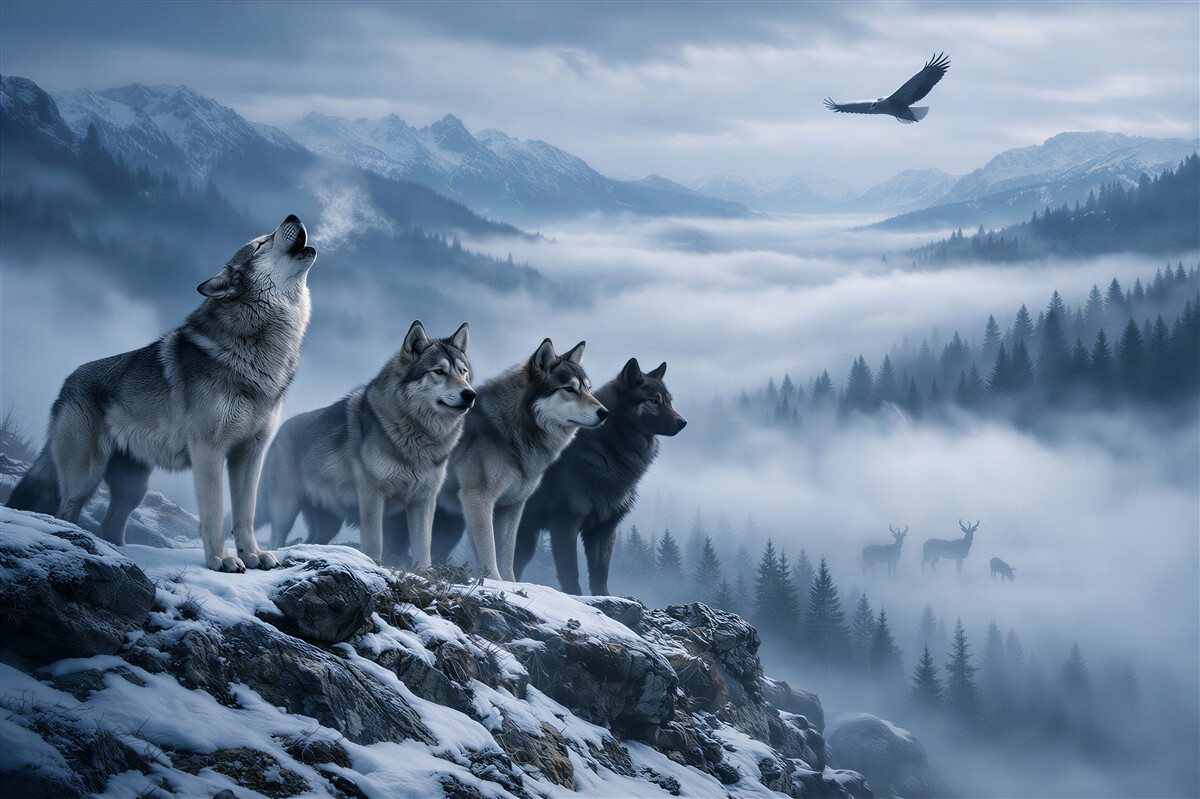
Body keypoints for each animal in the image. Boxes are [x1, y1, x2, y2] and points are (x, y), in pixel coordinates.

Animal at [8, 215, 316, 572]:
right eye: (260, 244)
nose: (292, 216)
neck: (259, 351)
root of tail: (66, 384)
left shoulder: (251, 453)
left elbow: (246, 514)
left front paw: (253, 556)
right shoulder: (208, 450)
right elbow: (214, 513)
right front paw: (221, 560)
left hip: (134, 488)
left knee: (110, 525)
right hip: (86, 476)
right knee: (66, 512)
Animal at [255, 320, 474, 566]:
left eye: (463, 372)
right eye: (439, 371)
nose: (470, 394)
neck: (418, 438)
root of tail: (279, 432)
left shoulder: (423, 501)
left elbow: (423, 550)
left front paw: (423, 572)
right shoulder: (372, 496)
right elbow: (374, 544)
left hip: (329, 524)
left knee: (312, 540)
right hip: (285, 510)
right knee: (276, 540)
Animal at [387, 338, 608, 579]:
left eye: (587, 389)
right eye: (569, 389)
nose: (604, 412)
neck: (512, 432)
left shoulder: (512, 505)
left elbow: (507, 555)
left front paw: (510, 584)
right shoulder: (478, 498)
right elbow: (488, 549)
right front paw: (493, 580)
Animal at [512, 358, 686, 595]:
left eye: (668, 401)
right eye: (654, 401)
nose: (682, 422)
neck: (608, 453)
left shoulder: (604, 527)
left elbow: (600, 572)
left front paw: (604, 597)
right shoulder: (565, 522)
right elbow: (571, 571)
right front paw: (575, 597)